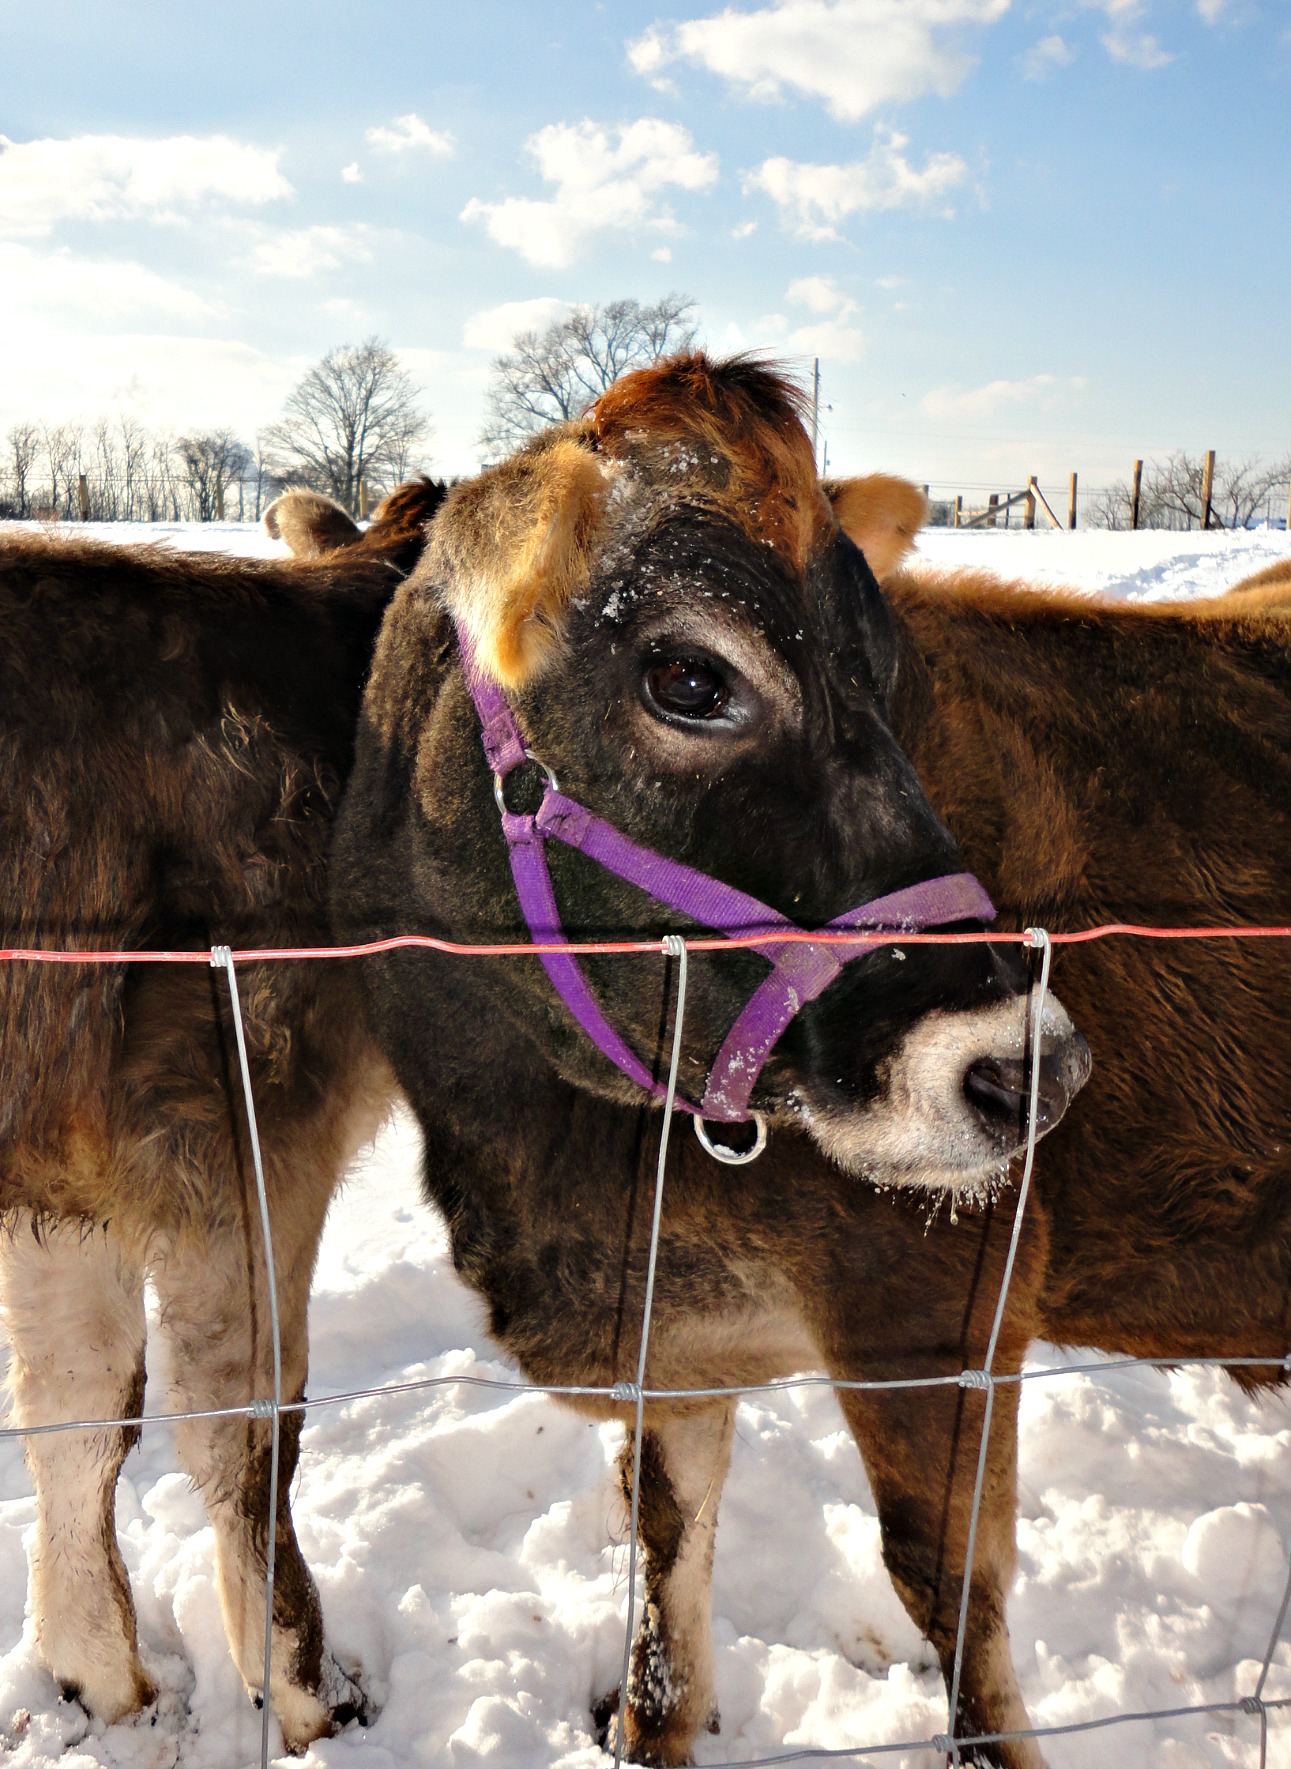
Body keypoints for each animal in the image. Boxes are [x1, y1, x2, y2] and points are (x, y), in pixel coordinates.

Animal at [0, 475, 443, 1749]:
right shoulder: (246, 1127)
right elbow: (248, 1413)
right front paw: (300, 1685)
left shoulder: (69, 1173)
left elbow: (79, 1402)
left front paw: (95, 1671)